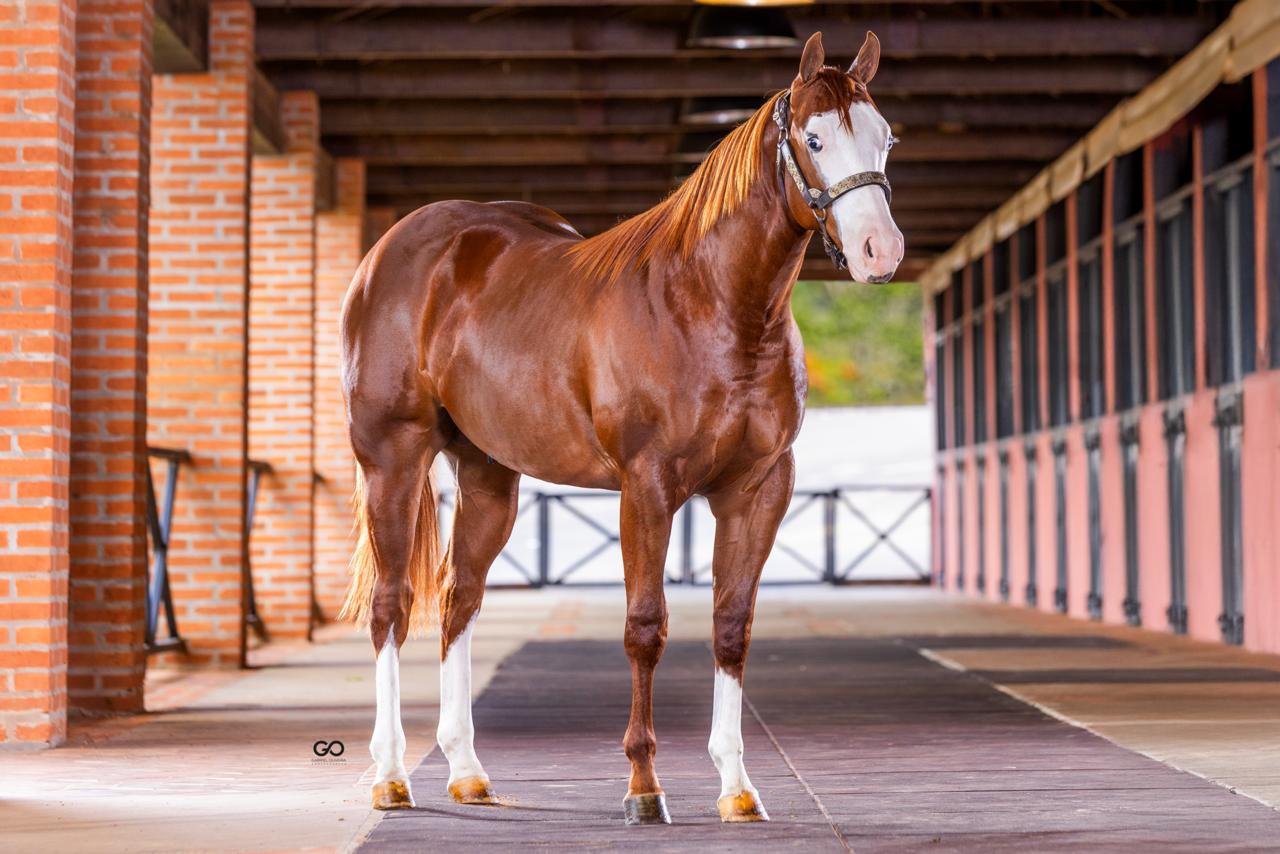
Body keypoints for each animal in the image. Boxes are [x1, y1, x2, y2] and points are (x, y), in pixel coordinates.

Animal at [339, 30, 903, 825]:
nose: (881, 251)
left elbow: (731, 627)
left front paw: (737, 787)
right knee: (392, 604)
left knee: (459, 597)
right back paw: (392, 776)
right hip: (392, 459)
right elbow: (645, 628)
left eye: (885, 138)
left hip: (488, 476)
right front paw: (643, 786)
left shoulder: (759, 490)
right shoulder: (648, 488)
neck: (710, 305)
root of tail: (393, 252)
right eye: (814, 138)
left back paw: (468, 772)